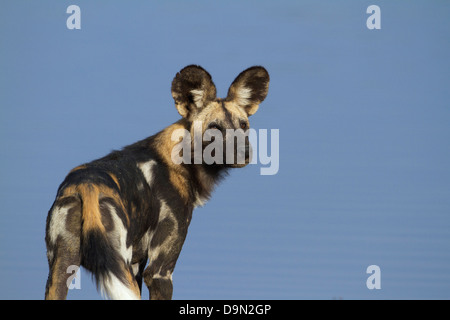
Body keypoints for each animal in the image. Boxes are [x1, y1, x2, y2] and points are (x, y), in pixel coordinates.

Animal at [44, 65, 270, 300]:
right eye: (214, 128)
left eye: (243, 125)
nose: (245, 152)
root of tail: (87, 187)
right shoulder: (160, 271)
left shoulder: (137, 264)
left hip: (61, 270)